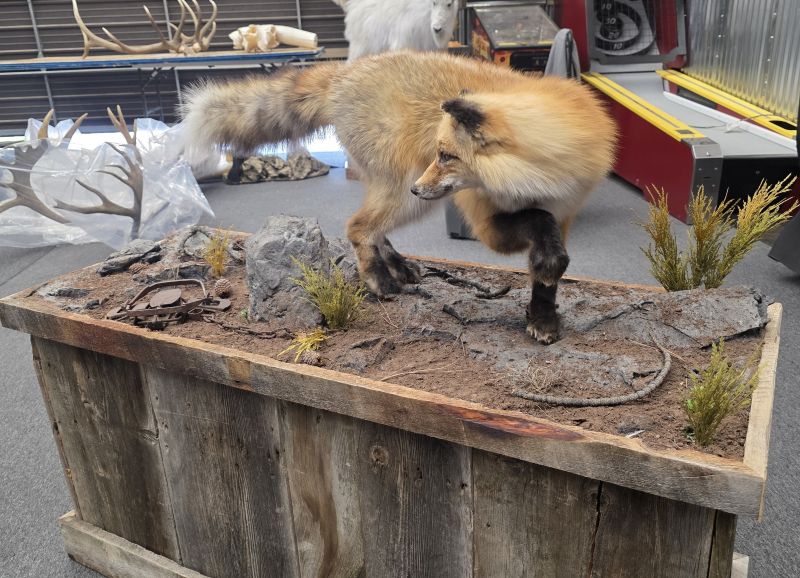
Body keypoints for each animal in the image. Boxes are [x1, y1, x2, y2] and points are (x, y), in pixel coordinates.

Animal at [181, 51, 616, 343]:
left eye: (447, 156)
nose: (419, 186)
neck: (538, 179)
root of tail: (345, 72)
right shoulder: (488, 224)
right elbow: (537, 222)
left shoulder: (563, 212)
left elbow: (551, 266)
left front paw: (542, 318)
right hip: (405, 197)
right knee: (359, 227)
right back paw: (380, 281)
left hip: (403, 196)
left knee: (374, 230)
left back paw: (399, 267)